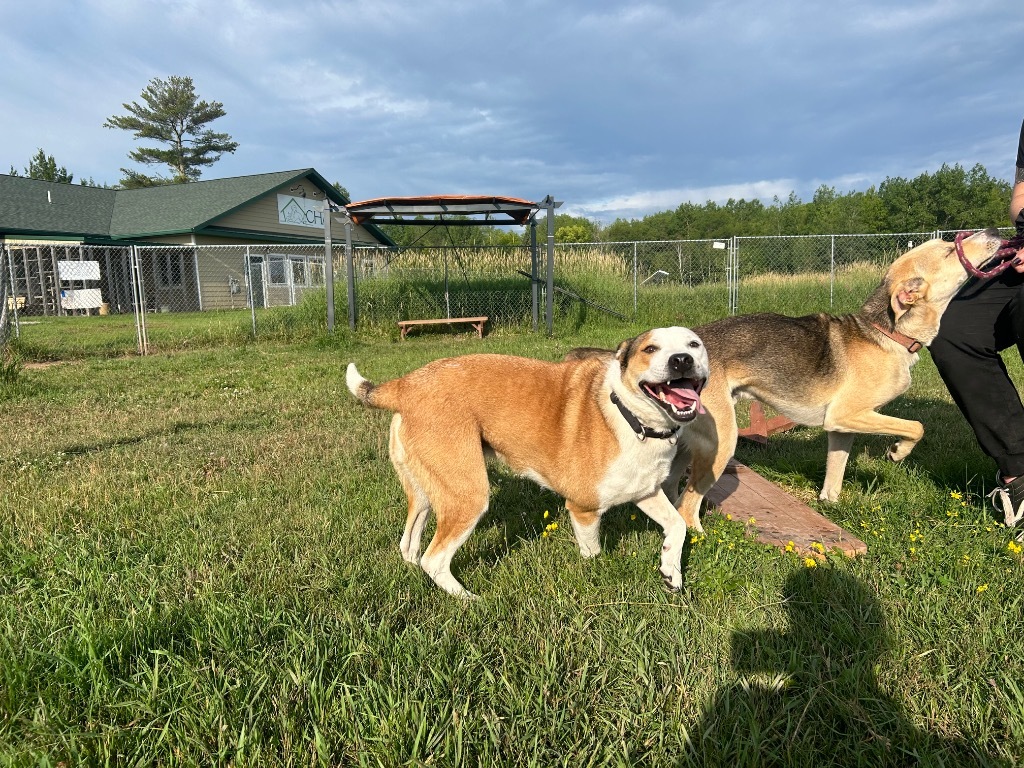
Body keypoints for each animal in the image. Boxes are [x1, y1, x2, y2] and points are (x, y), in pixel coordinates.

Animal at [348, 327, 708, 598]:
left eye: (694, 344)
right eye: (651, 348)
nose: (681, 360)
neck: (628, 415)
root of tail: (405, 384)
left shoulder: (645, 491)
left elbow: (677, 525)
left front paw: (671, 573)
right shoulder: (584, 508)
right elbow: (593, 554)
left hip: (426, 490)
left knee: (410, 545)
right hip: (469, 496)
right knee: (433, 559)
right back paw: (469, 599)